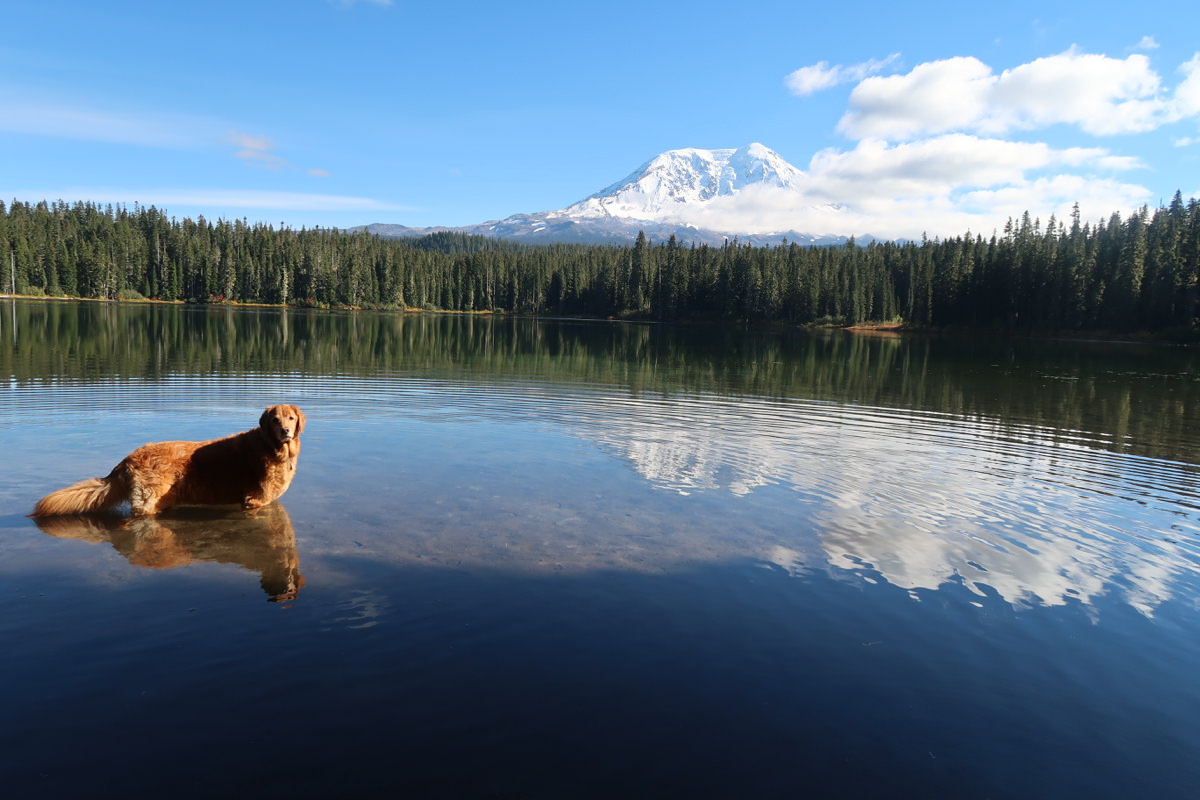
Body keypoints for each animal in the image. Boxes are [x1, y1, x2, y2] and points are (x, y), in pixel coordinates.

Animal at [32, 407, 307, 520]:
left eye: (291, 418)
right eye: (274, 419)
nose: (285, 431)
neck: (271, 447)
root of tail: (127, 458)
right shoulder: (254, 501)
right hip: (150, 502)